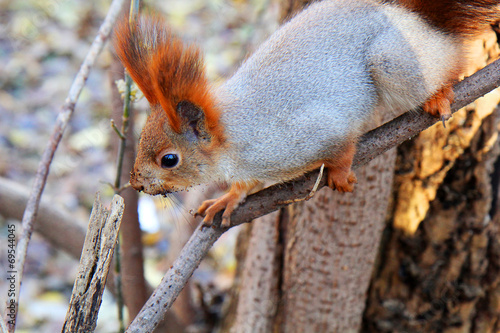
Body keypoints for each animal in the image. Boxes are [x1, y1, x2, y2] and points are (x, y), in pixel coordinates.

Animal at [113, 0, 500, 227]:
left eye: (169, 159)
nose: (136, 183)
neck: (234, 136)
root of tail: (420, 21)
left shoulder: (308, 134)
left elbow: (341, 146)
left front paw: (339, 173)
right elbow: (246, 184)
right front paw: (229, 197)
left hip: (395, 62)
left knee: (451, 63)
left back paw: (440, 93)